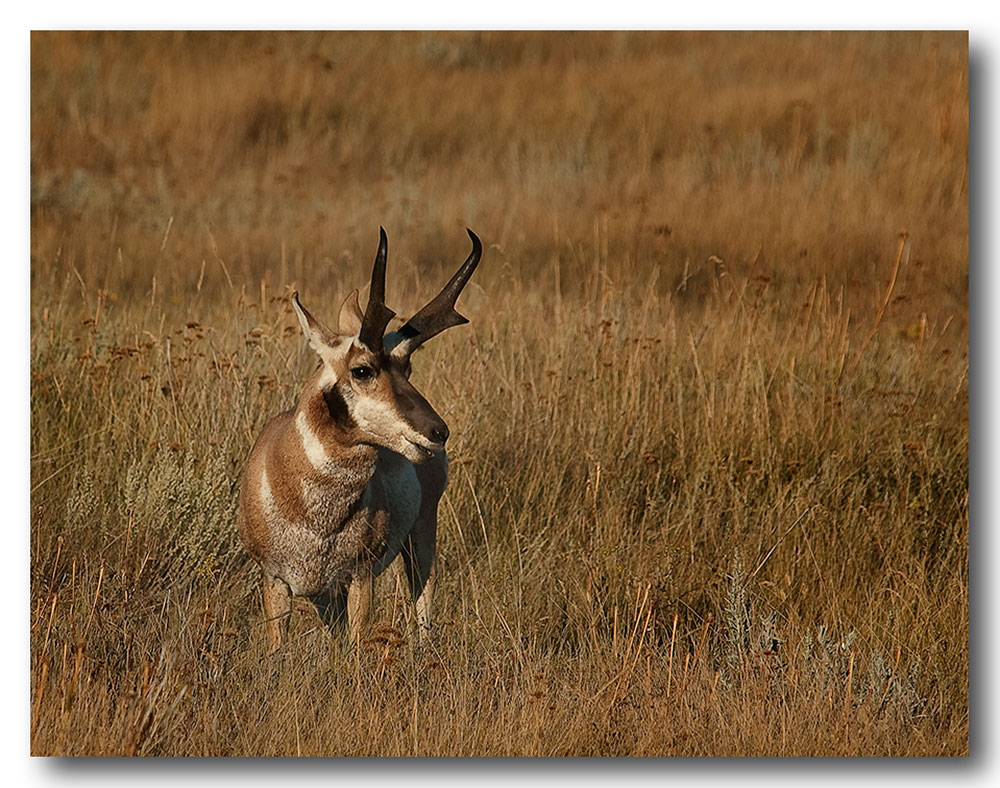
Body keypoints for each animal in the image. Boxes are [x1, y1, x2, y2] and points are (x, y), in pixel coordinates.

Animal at [238, 228, 480, 652]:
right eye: (362, 370)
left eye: (407, 367)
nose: (438, 432)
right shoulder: (276, 581)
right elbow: (277, 648)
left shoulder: (360, 577)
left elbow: (355, 646)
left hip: (421, 537)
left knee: (423, 603)